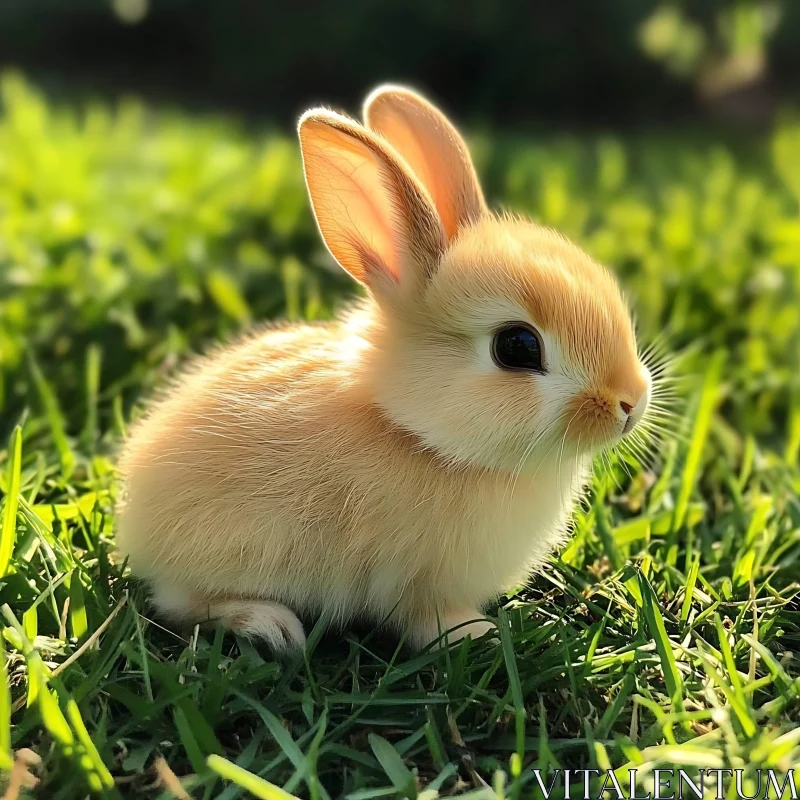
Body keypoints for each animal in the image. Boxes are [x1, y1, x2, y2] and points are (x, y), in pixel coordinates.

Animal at [115, 86, 648, 656]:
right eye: (518, 347)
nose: (631, 402)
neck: (419, 436)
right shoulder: (412, 583)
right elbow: (423, 620)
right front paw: (477, 632)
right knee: (182, 605)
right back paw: (268, 624)